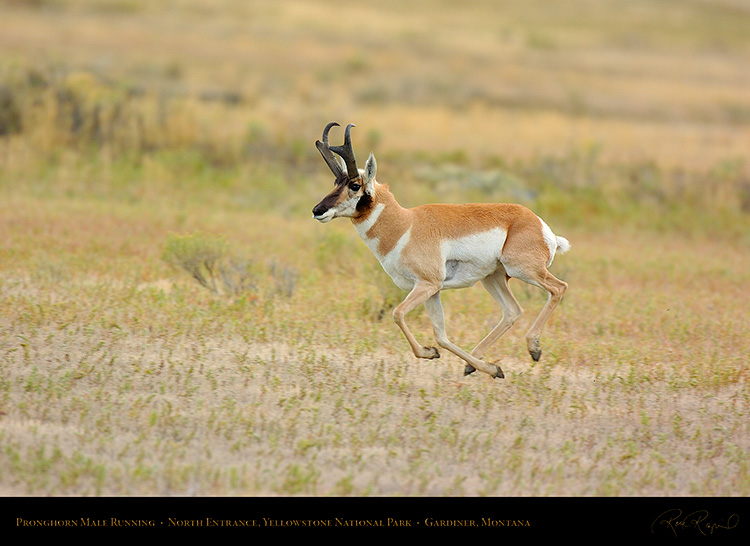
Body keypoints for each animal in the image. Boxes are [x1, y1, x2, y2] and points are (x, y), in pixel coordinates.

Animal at [312, 122, 568, 378]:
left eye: (355, 185)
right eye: (336, 183)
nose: (317, 210)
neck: (406, 224)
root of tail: (539, 224)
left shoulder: (427, 284)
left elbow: (398, 313)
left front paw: (431, 353)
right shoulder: (432, 290)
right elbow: (441, 336)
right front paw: (478, 365)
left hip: (522, 270)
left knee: (558, 288)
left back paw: (534, 348)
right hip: (492, 278)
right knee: (513, 310)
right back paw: (475, 364)